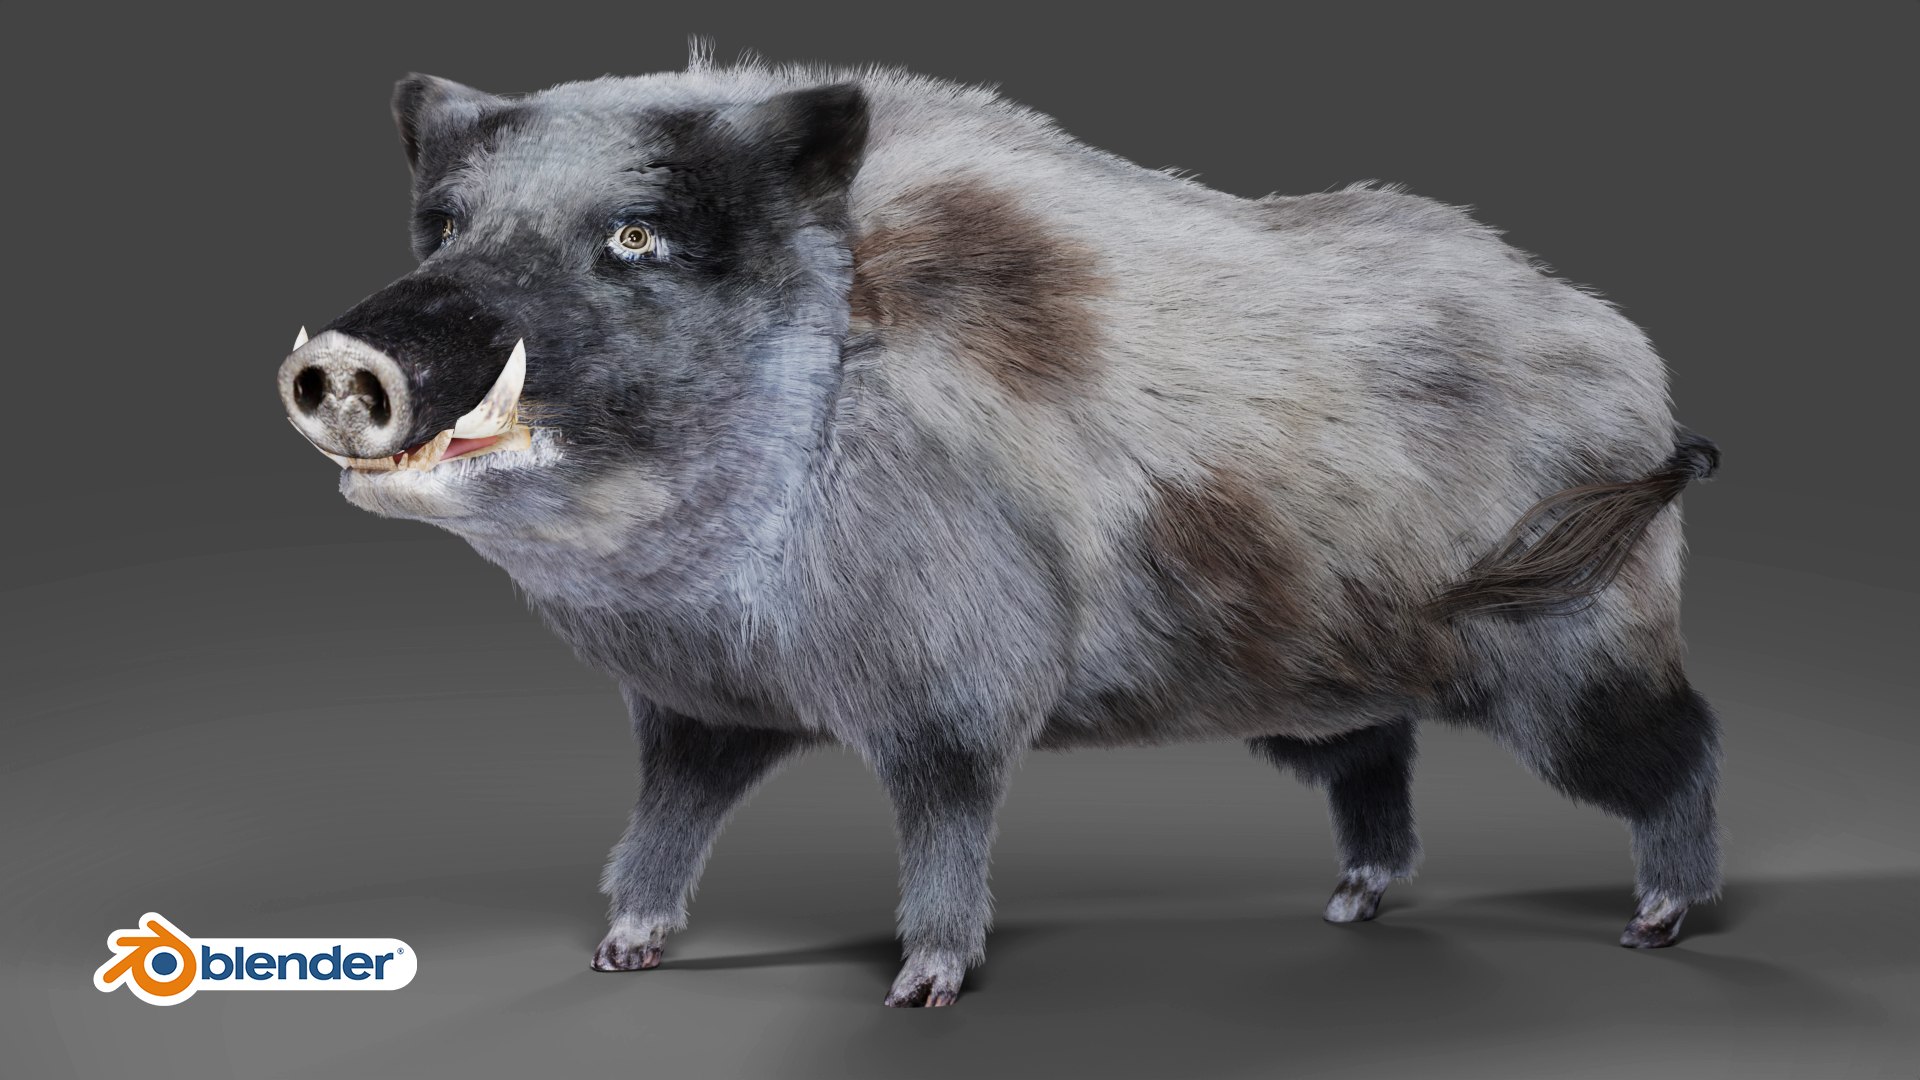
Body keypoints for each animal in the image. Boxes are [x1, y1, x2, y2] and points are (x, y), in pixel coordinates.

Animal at [277, 47, 1722, 1007]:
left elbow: (945, 813)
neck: (713, 602)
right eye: (444, 227)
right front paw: (619, 956)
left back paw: (1662, 923)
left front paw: (921, 987)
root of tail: (1633, 363)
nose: (342, 360)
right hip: (1325, 690)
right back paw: (1349, 905)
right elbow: (665, 822)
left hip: (1576, 645)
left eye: (634, 236)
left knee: (1681, 743)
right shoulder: (697, 708)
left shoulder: (956, 682)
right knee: (1378, 767)